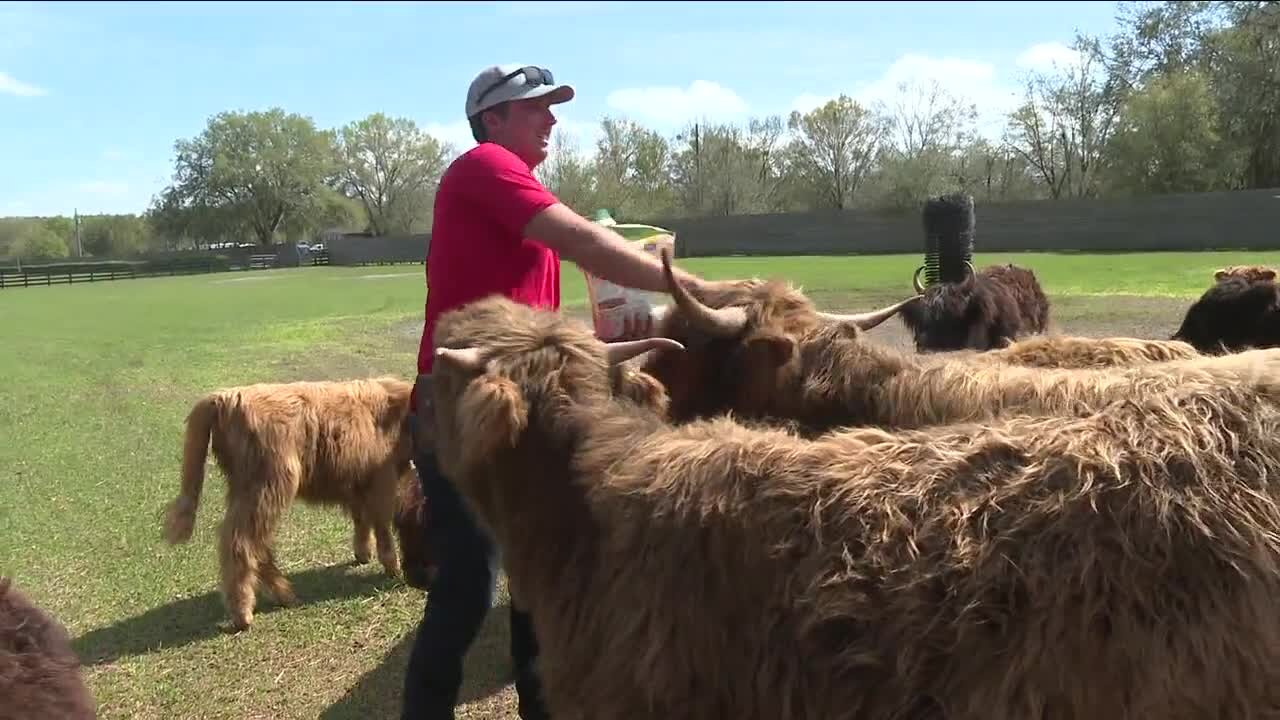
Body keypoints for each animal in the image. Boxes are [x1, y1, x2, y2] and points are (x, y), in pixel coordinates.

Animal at [158, 376, 430, 627]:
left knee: (256, 543)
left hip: (246, 490)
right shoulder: (382, 479)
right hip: (269, 485)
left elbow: (361, 519)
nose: (418, 580)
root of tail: (224, 397)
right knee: (241, 541)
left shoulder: (357, 482)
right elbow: (381, 523)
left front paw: (363, 553)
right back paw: (243, 614)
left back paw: (285, 595)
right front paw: (391, 566)